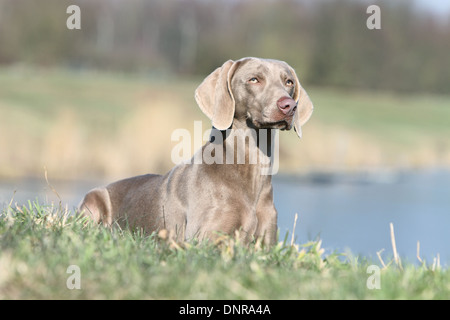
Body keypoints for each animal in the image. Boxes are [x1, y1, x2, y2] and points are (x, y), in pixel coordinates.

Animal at [78, 57, 312, 245]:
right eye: (254, 79)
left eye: (289, 82)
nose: (289, 106)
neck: (251, 167)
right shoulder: (204, 239)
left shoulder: (265, 243)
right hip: (93, 199)